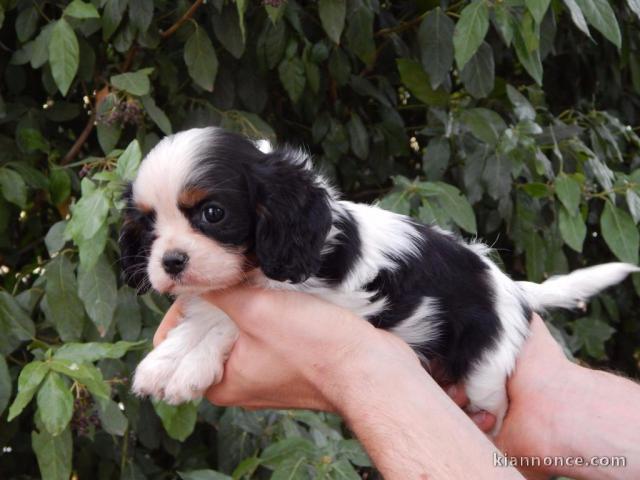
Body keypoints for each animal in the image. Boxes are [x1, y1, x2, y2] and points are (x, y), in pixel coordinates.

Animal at [119, 126, 636, 432]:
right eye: (148, 225)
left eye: (213, 213)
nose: (171, 262)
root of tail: (511, 287)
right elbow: (205, 316)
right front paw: (170, 357)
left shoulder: (339, 301)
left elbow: (226, 323)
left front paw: (187, 365)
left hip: (487, 373)